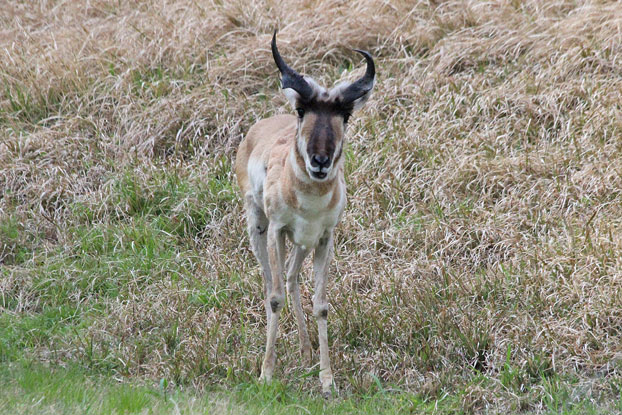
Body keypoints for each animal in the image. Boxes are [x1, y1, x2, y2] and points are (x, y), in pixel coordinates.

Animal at [236, 31, 376, 396]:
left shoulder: (324, 238)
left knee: (290, 277)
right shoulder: (276, 230)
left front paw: (327, 380)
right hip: (259, 229)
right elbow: (274, 298)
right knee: (271, 283)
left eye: (345, 115)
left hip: (301, 243)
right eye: (302, 109)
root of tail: (261, 127)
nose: (320, 161)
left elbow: (321, 305)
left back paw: (305, 350)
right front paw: (266, 374)